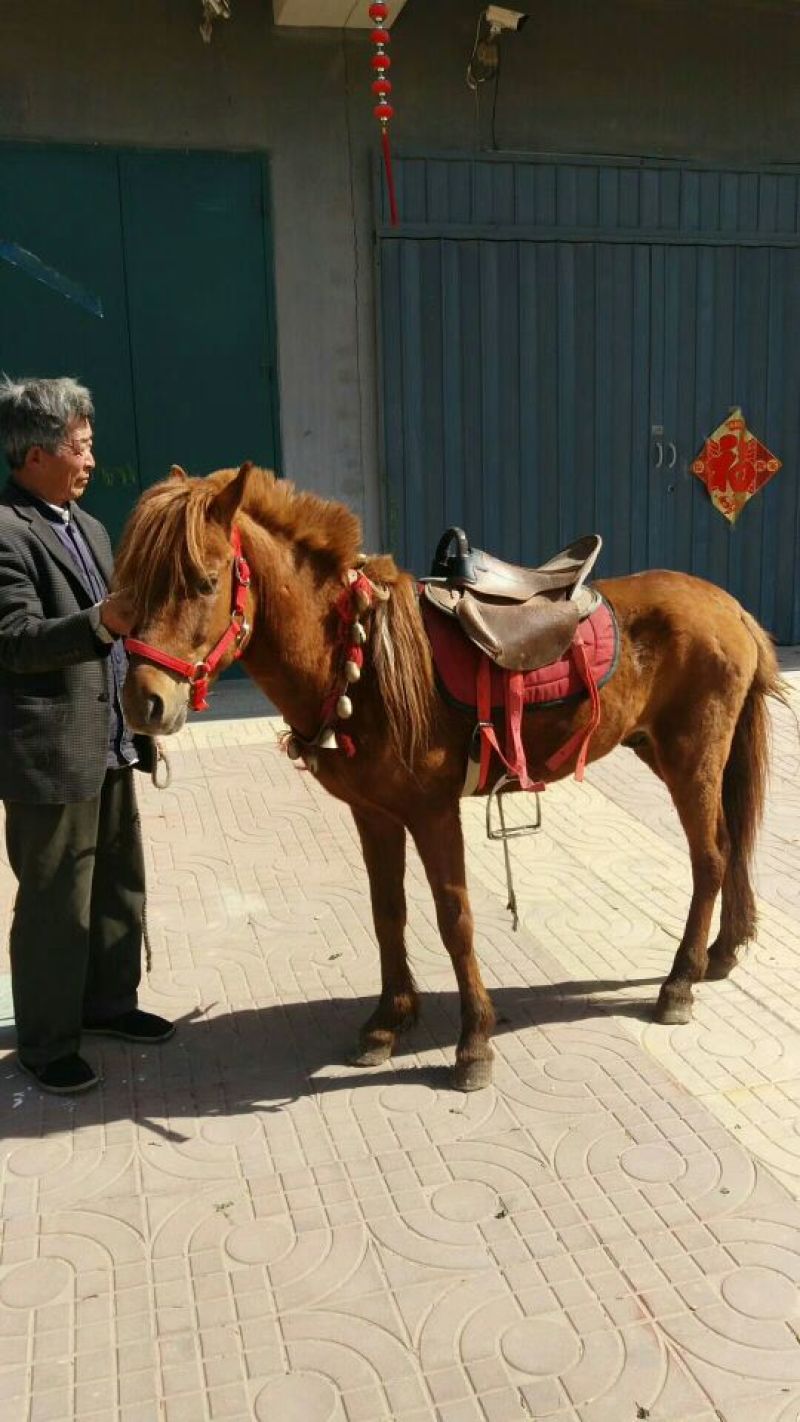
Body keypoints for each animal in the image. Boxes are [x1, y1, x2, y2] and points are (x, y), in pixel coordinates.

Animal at [115, 462, 786, 1092]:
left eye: (205, 581)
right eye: (133, 582)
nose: (144, 703)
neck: (361, 659)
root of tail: (729, 606)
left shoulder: (433, 813)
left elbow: (454, 918)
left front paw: (474, 1043)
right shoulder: (374, 814)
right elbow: (388, 912)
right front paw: (388, 1022)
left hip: (692, 759)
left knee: (711, 859)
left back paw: (678, 984)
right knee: (730, 848)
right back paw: (719, 953)